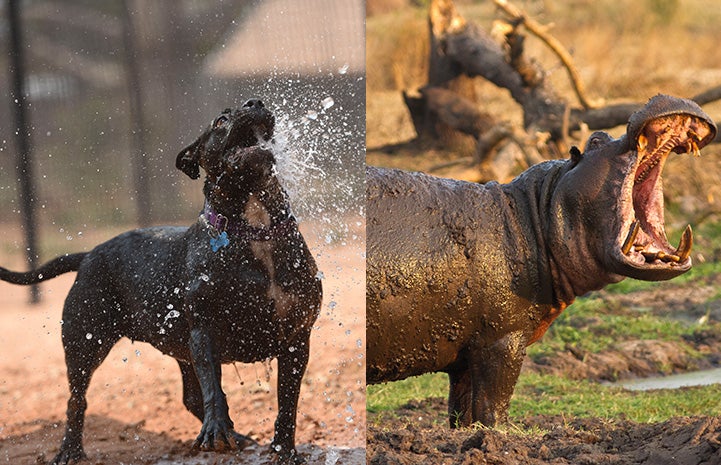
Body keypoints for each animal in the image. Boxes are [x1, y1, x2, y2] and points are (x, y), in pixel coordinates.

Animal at [0, 99, 320, 464]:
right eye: (220, 120)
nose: (255, 102)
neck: (254, 228)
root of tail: (91, 253)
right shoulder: (204, 331)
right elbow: (214, 387)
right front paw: (216, 428)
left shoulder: (296, 337)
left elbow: (287, 403)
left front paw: (284, 450)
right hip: (85, 342)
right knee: (76, 399)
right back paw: (70, 450)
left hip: (171, 350)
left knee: (189, 398)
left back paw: (239, 436)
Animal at [368, 95, 716, 428]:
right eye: (595, 139)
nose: (662, 95)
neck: (535, 212)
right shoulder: (502, 342)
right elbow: (492, 410)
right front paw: (498, 437)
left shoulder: (467, 355)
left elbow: (462, 415)